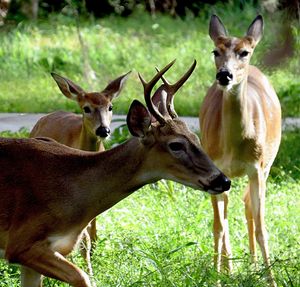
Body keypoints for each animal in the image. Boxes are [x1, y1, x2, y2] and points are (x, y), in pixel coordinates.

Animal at [199, 14, 282, 286]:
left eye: (244, 52)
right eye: (215, 50)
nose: (224, 75)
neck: (234, 145)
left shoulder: (257, 168)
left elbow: (261, 228)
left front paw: (271, 278)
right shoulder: (215, 171)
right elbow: (218, 226)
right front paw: (216, 277)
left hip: (268, 164)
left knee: (247, 205)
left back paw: (253, 266)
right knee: (227, 216)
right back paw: (230, 268)